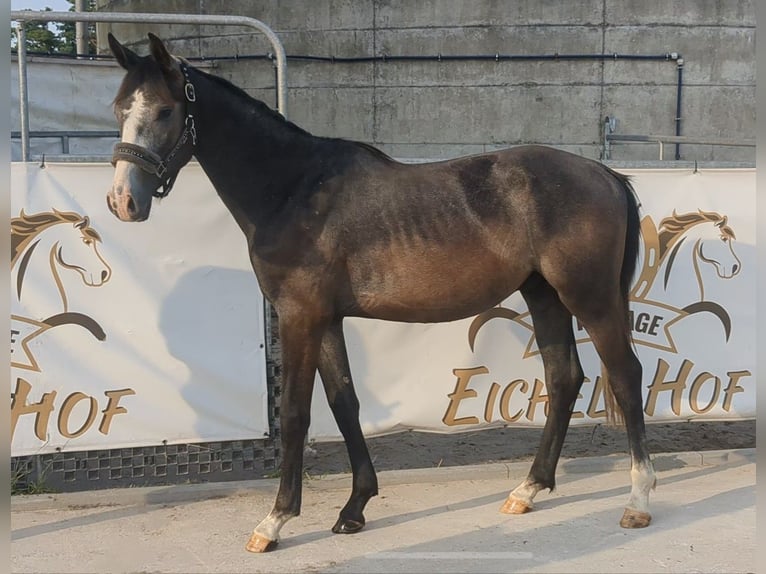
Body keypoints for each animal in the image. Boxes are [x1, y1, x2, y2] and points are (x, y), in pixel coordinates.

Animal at [106, 33, 660, 556]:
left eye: (165, 110)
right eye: (118, 109)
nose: (123, 201)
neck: (293, 188)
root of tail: (604, 174)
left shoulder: (299, 316)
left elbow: (295, 414)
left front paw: (275, 521)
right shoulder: (327, 319)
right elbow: (344, 402)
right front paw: (354, 509)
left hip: (589, 297)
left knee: (624, 375)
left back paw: (637, 500)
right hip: (543, 294)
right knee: (564, 377)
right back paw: (527, 490)